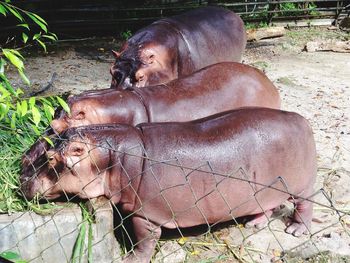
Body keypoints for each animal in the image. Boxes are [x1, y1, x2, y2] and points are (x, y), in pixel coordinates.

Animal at [21, 108, 318, 263]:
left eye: (50, 158)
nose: (21, 180)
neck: (112, 156)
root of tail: (301, 119)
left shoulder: (145, 214)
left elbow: (144, 241)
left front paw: (131, 258)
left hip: (302, 185)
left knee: (304, 204)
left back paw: (296, 230)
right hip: (260, 189)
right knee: (265, 205)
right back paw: (254, 224)